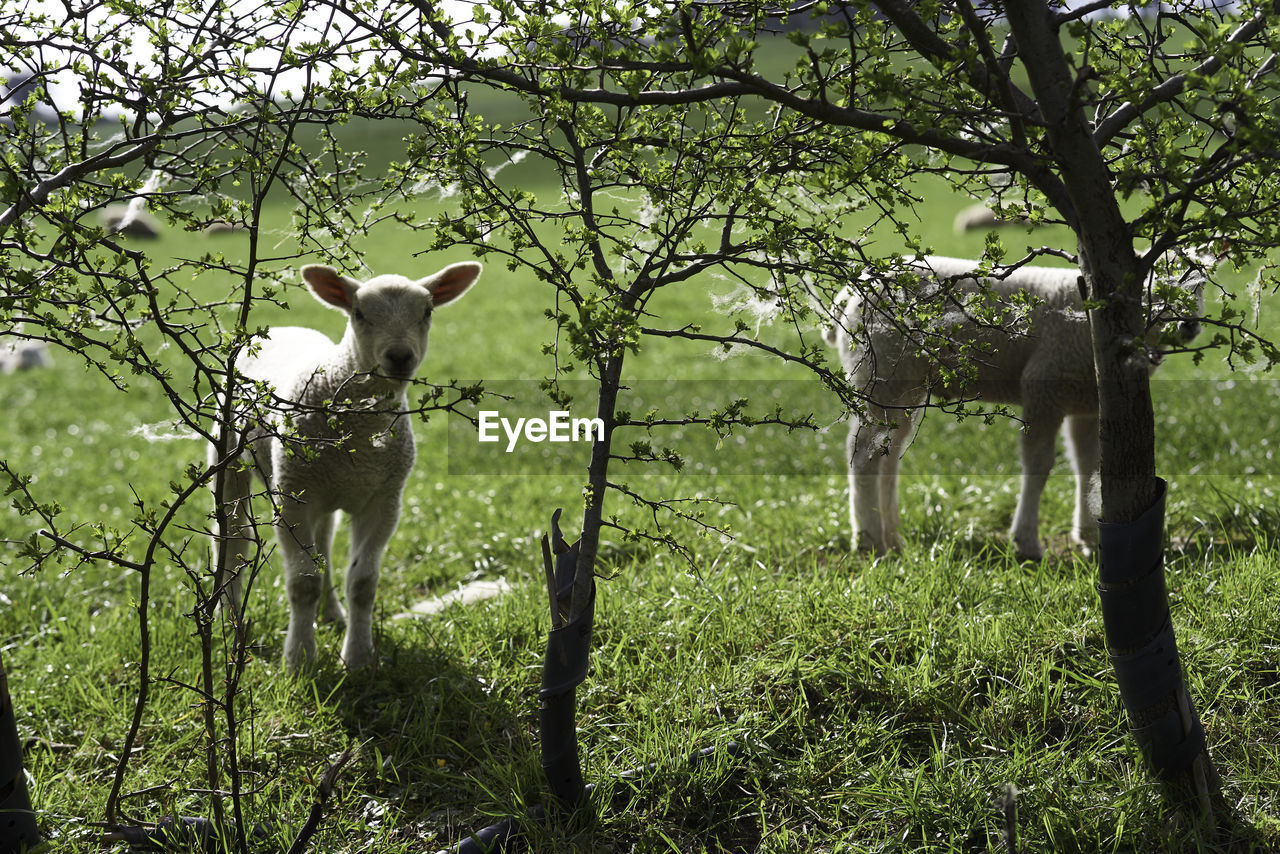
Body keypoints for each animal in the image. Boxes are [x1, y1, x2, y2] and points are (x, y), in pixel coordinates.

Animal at [212, 257, 481, 670]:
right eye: (359, 313)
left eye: (427, 312)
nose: (400, 356)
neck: (358, 436)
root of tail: (281, 328)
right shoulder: (291, 500)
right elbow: (303, 582)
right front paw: (300, 660)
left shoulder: (384, 501)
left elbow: (363, 584)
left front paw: (357, 657)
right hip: (232, 459)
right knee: (232, 540)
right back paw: (229, 624)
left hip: (320, 490)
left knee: (322, 546)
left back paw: (331, 615)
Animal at [824, 253, 1203, 560]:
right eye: (1157, 281)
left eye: (1200, 286)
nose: (1190, 325)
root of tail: (850, 293)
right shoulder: (1044, 388)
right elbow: (1038, 466)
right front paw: (1027, 542)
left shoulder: (1087, 403)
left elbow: (1088, 466)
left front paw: (1089, 537)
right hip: (880, 374)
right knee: (864, 457)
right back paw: (870, 540)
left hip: (900, 386)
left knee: (886, 456)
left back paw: (892, 537)